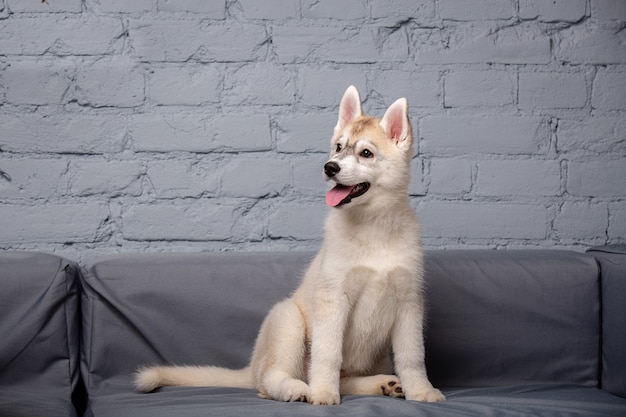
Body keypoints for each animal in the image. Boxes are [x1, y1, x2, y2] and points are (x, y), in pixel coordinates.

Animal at [135, 85, 444, 406]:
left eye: (366, 153)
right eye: (338, 147)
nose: (329, 167)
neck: (373, 227)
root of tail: (251, 367)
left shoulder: (409, 302)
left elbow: (412, 357)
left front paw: (421, 390)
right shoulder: (333, 298)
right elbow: (327, 354)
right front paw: (323, 393)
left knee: (343, 379)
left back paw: (384, 384)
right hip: (288, 320)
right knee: (271, 379)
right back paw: (296, 388)